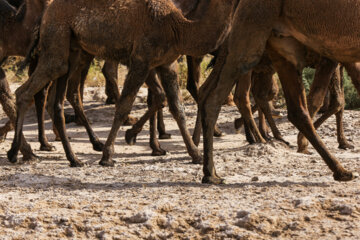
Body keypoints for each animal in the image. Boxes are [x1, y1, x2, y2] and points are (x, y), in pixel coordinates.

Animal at [7, 0, 239, 167]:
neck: (178, 28)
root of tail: (45, 14)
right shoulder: (141, 60)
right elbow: (123, 106)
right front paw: (108, 155)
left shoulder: (167, 64)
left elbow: (177, 108)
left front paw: (195, 154)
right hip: (57, 43)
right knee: (25, 91)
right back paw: (17, 152)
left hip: (71, 50)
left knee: (55, 101)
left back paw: (70, 158)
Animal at [197, 0, 360, 184]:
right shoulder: (332, 57)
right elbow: (329, 99)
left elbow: (340, 98)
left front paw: (343, 143)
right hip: (253, 31)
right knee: (222, 96)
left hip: (281, 47)